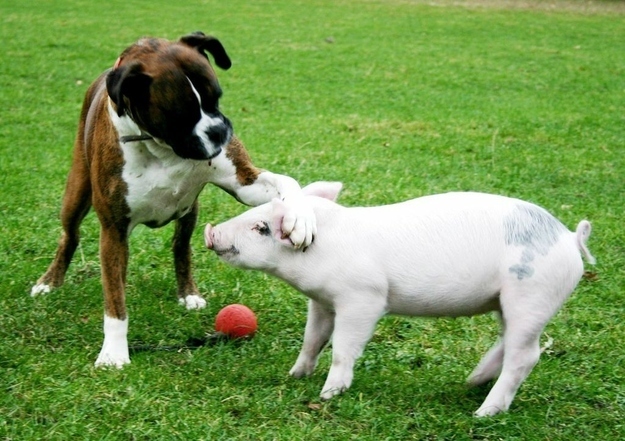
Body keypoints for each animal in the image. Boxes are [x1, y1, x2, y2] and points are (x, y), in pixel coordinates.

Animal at [29, 31, 314, 368]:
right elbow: (115, 300)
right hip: (76, 193)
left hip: (189, 210)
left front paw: (300, 219)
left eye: (216, 98)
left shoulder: (245, 182)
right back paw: (49, 281)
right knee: (70, 236)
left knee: (181, 247)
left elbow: (288, 182)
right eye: (181, 114)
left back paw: (188, 292)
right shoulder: (113, 230)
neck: (161, 147)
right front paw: (113, 353)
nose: (219, 130)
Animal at [205, 182, 596, 416]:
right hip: (507, 300)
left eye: (261, 228)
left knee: (526, 355)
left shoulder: (363, 298)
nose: (210, 230)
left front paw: (328, 394)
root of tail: (568, 238)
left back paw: (483, 412)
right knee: (508, 341)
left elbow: (343, 347)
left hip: (532, 295)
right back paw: (471, 382)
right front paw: (295, 375)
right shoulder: (322, 300)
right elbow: (313, 338)